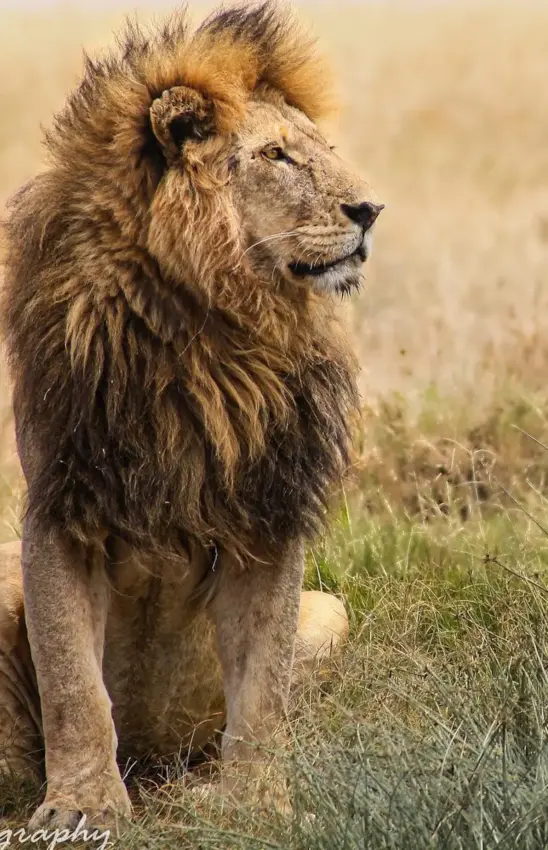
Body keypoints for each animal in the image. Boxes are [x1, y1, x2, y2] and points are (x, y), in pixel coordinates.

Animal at [0, 2, 382, 832]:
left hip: (331, 614)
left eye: (324, 151)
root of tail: (155, 764)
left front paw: (257, 802)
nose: (371, 210)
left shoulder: (267, 517)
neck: (208, 327)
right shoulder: (61, 507)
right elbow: (74, 684)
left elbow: (264, 687)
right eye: (277, 155)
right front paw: (79, 807)